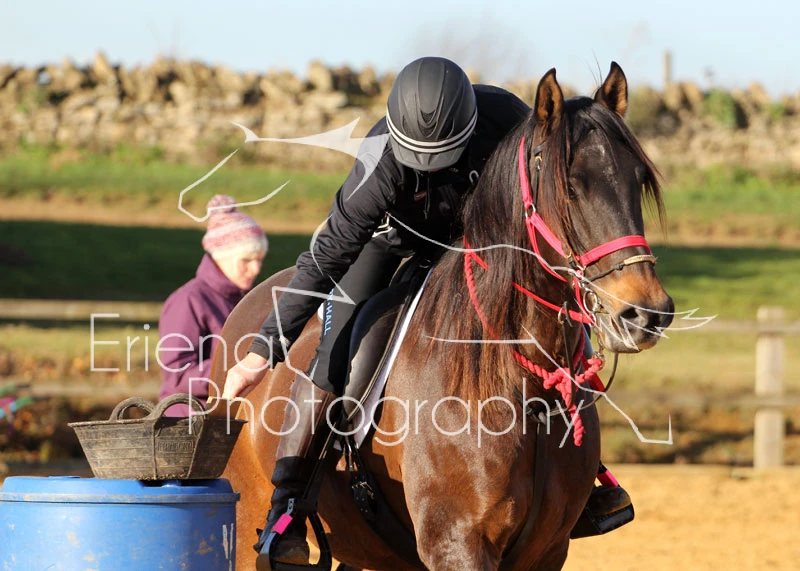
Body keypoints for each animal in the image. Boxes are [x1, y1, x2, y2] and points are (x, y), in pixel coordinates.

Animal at [211, 62, 674, 570]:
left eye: (637, 179)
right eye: (571, 186)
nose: (646, 312)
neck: (516, 384)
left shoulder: (546, 550)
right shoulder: (456, 543)